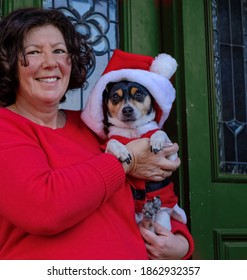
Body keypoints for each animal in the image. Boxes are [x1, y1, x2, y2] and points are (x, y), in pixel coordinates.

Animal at [101, 80, 186, 231]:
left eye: (139, 94)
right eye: (115, 96)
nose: (127, 110)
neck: (132, 130)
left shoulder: (172, 156)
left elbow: (160, 132)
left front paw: (156, 141)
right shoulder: (106, 148)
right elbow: (112, 141)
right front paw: (121, 151)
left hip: (163, 218)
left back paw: (152, 210)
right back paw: (149, 212)